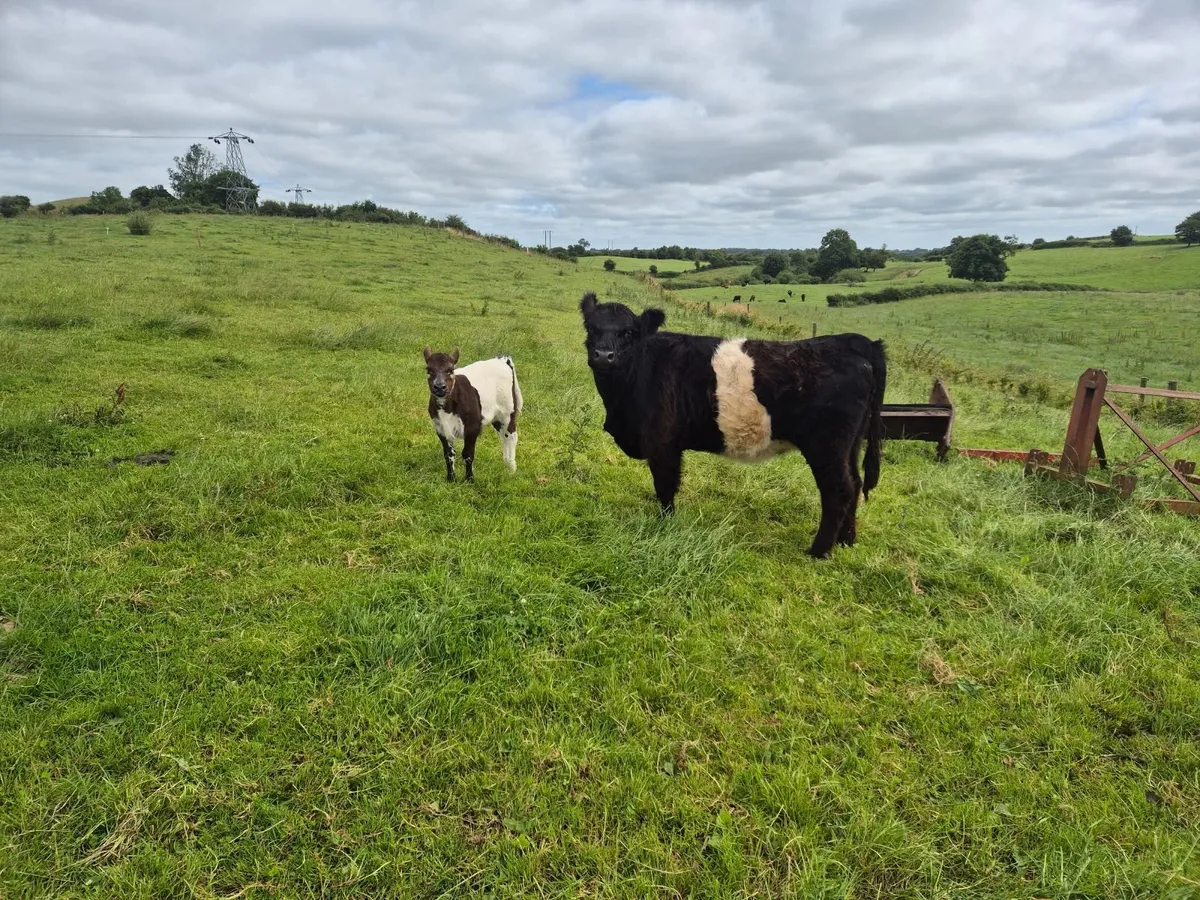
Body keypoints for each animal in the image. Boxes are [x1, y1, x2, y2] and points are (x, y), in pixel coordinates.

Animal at [423, 346, 522, 481]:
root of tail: (502, 359)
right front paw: (451, 479)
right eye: (429, 370)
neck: (447, 407)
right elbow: (448, 454)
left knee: (511, 435)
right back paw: (506, 464)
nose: (439, 387)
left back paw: (511, 468)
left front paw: (469, 479)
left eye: (450, 370)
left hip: (507, 411)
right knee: (503, 436)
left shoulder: (472, 426)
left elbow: (468, 454)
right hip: (496, 416)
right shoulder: (440, 427)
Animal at [578, 292, 886, 558]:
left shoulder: (662, 443)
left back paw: (818, 551)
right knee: (855, 483)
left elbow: (665, 486)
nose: (603, 355)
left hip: (827, 446)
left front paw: (665, 524)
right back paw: (846, 541)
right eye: (591, 328)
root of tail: (852, 343)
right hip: (851, 444)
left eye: (628, 333)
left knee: (839, 490)